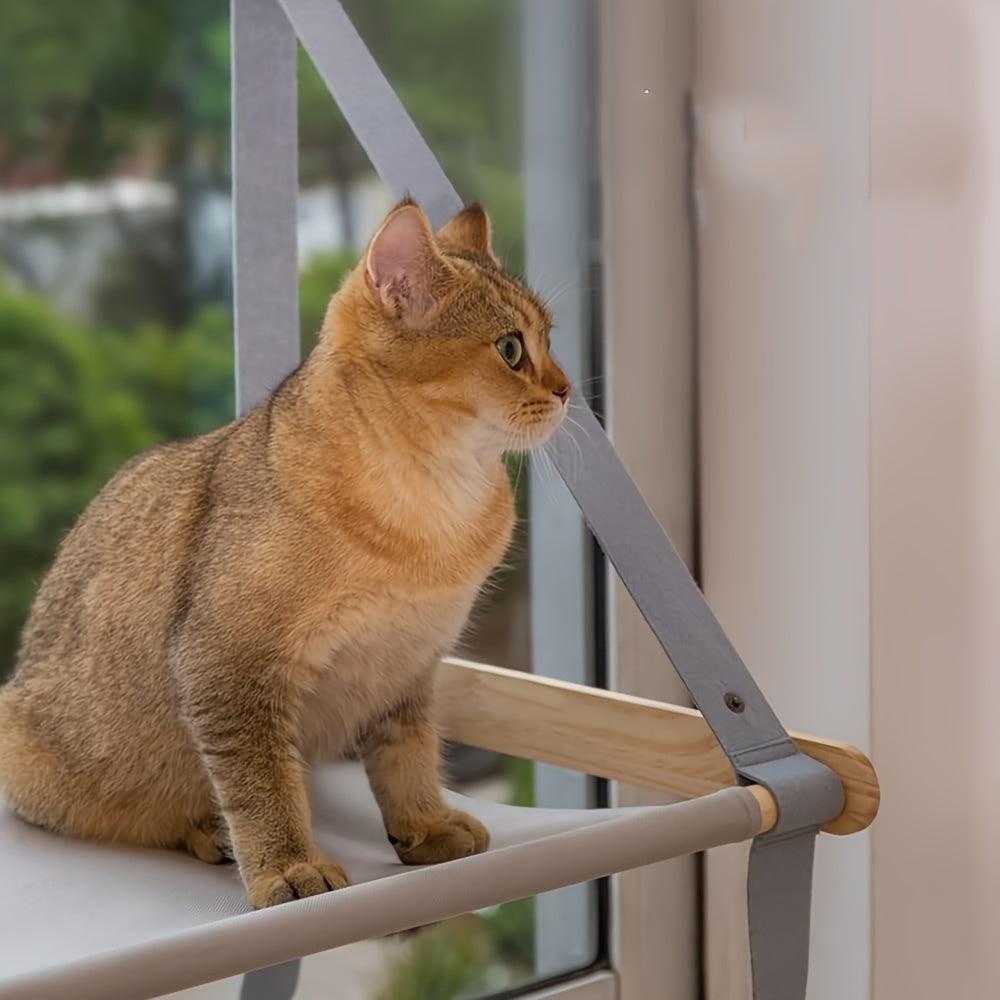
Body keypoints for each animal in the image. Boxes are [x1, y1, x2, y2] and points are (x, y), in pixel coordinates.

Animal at [0, 199, 572, 912]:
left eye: (551, 340)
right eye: (511, 349)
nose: (569, 389)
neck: (429, 516)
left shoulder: (406, 663)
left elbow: (407, 756)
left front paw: (424, 823)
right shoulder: (227, 666)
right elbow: (260, 785)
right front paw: (289, 867)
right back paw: (207, 830)